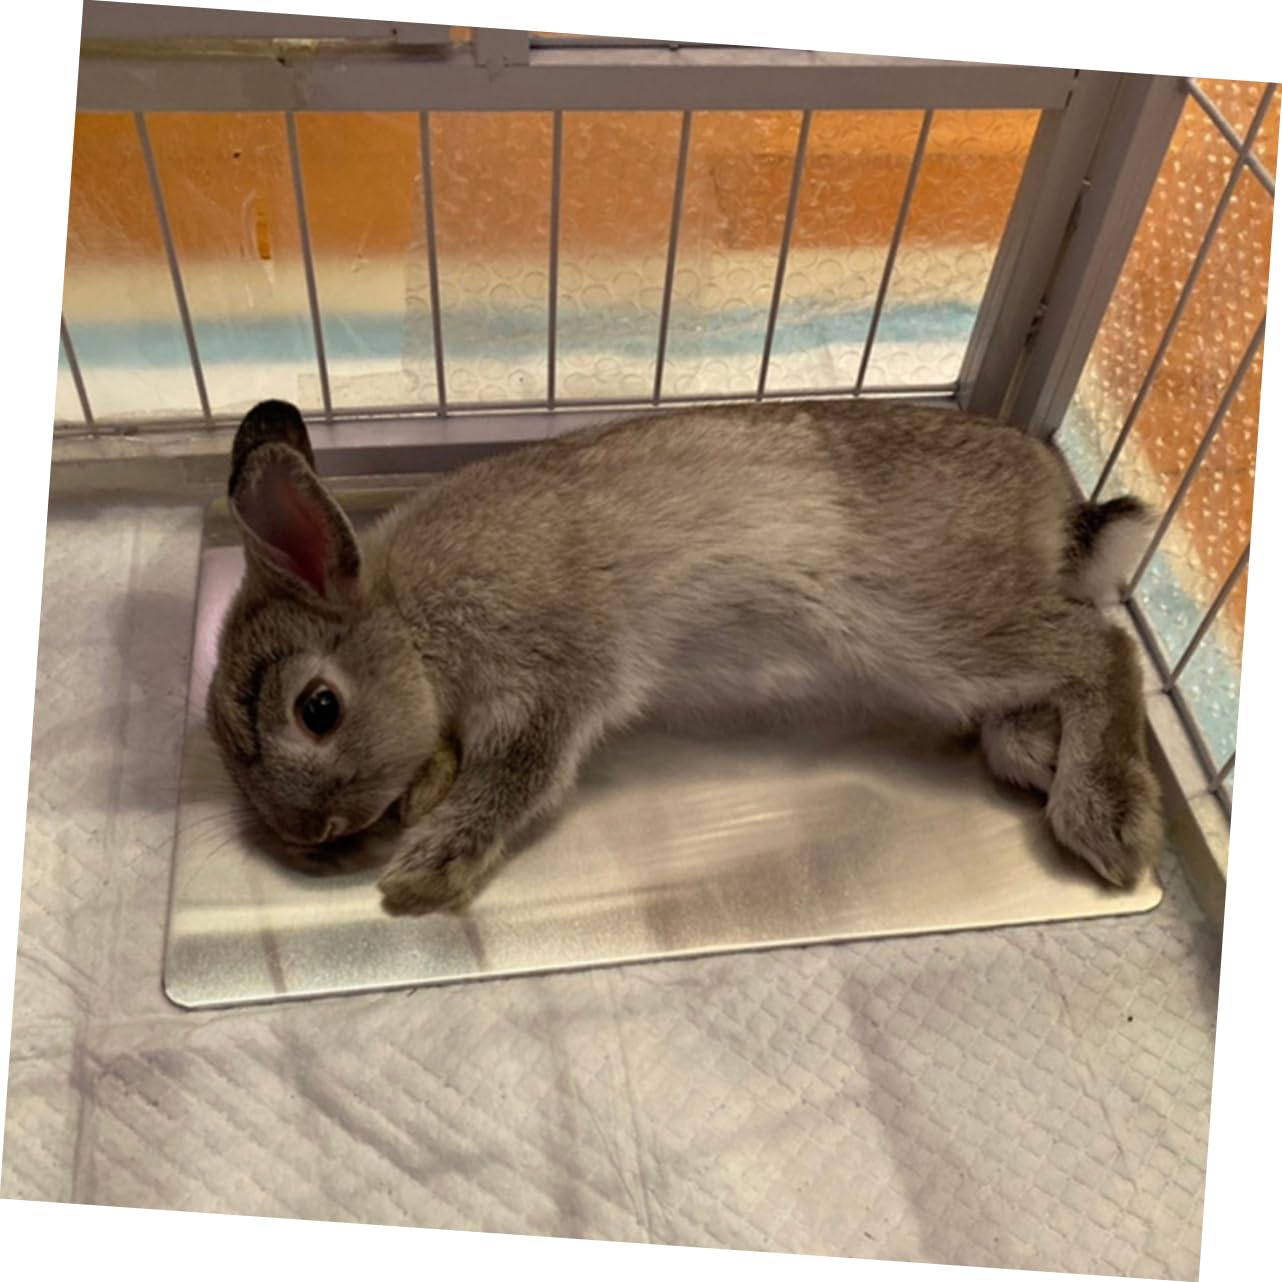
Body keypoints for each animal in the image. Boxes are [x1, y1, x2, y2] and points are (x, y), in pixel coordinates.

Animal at [205, 397, 1164, 916]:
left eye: (318, 708)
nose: (303, 837)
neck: (407, 620)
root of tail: (1054, 504)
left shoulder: (550, 676)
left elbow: (518, 776)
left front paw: (423, 872)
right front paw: (422, 797)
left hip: (927, 624)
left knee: (1101, 646)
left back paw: (1106, 816)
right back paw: (1035, 751)